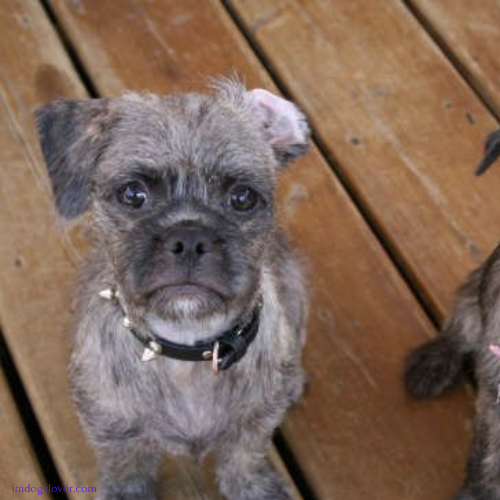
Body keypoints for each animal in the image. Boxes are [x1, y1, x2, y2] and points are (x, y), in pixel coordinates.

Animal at [34, 80, 308, 498]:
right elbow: (125, 471)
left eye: (242, 197)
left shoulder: (254, 426)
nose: (190, 238)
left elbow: (245, 457)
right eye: (133, 194)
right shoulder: (114, 433)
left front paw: (253, 487)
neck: (188, 347)